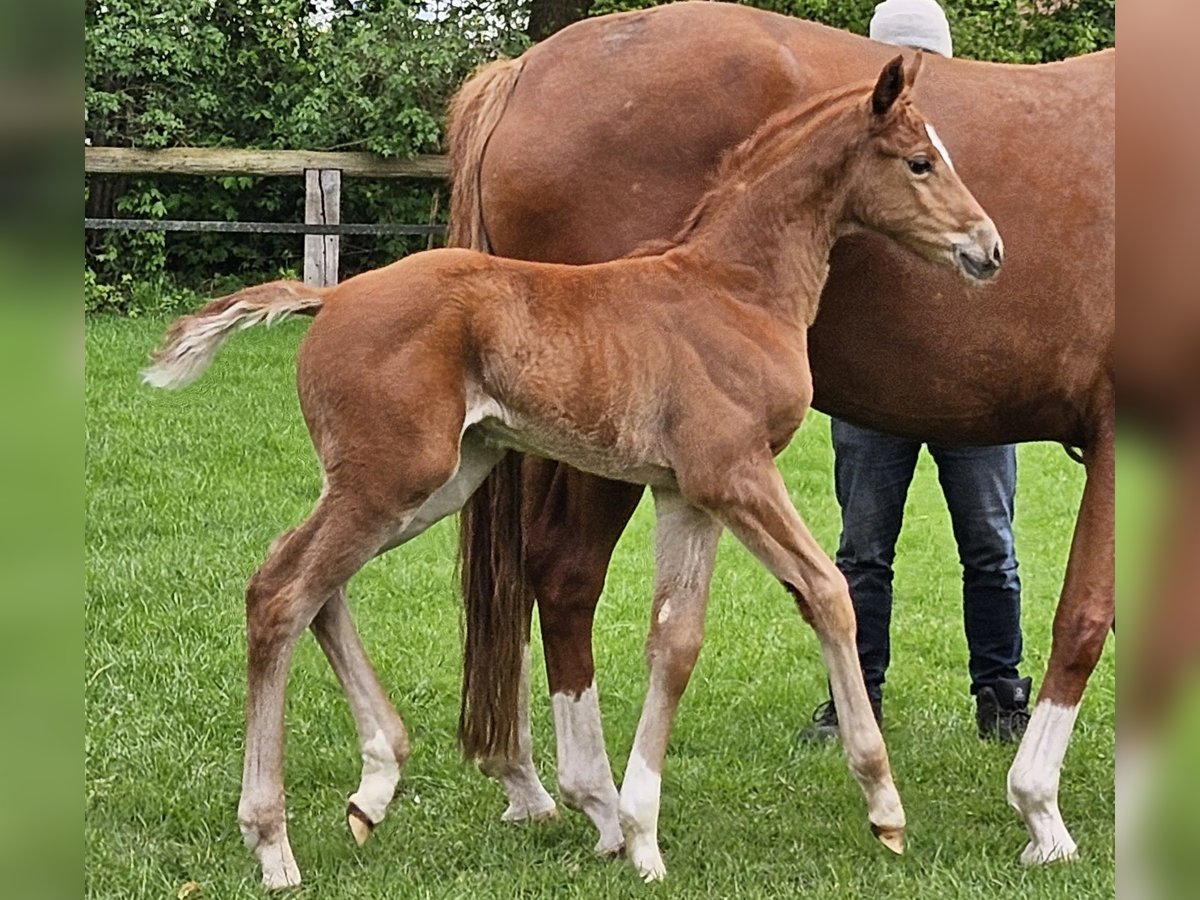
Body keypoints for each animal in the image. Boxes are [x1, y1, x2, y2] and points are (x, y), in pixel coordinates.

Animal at [142, 56, 1003, 888]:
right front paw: (885, 807)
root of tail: (329, 297)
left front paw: (642, 836)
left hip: (432, 482)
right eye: (921, 161)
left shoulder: (687, 493)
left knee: (312, 585)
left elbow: (676, 641)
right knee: (281, 592)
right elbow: (827, 593)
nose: (988, 248)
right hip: (391, 478)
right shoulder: (737, 473)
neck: (737, 290)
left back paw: (375, 785)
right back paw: (273, 844)